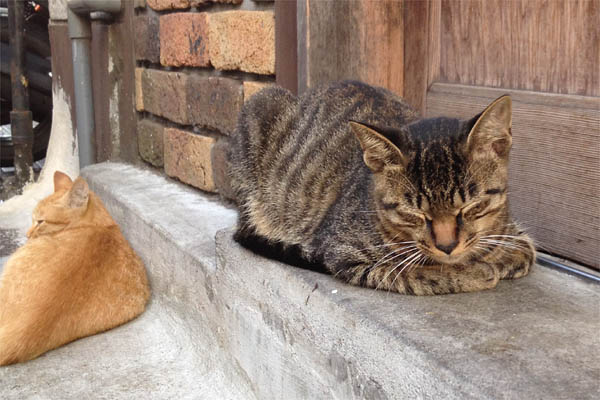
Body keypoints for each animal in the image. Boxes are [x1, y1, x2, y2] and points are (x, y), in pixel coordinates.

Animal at [229, 81, 536, 296]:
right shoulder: (343, 253)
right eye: (413, 212)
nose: (447, 246)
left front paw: (494, 257)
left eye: (472, 206)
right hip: (261, 103)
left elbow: (523, 251)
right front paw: (474, 272)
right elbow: (416, 273)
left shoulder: (515, 234)